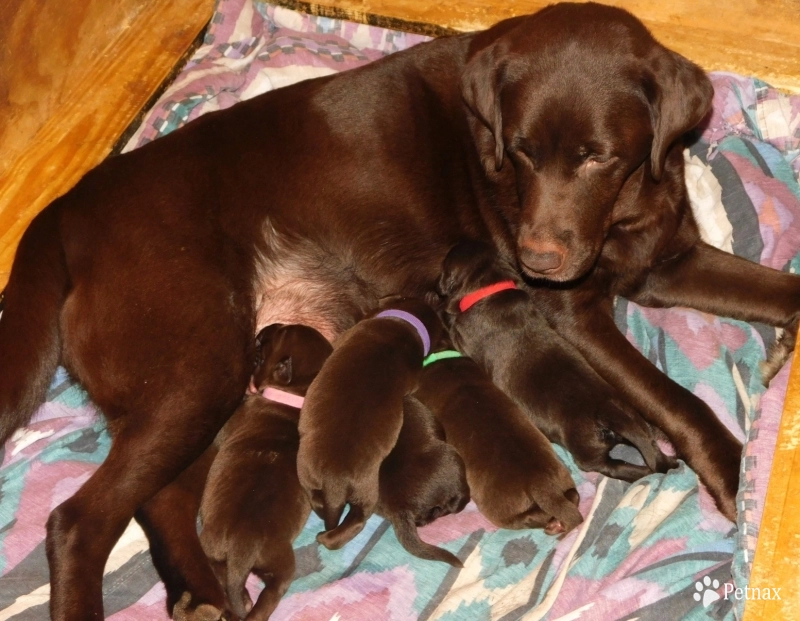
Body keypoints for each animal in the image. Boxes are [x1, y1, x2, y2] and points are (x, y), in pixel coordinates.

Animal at [296, 300, 444, 548]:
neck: (404, 325)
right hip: (324, 479)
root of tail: (335, 483)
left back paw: (324, 537)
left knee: (350, 518)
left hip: (334, 480)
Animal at [438, 241, 676, 480]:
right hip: (637, 420)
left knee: (612, 466)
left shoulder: (462, 336)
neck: (491, 288)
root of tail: (610, 413)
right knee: (652, 448)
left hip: (588, 450)